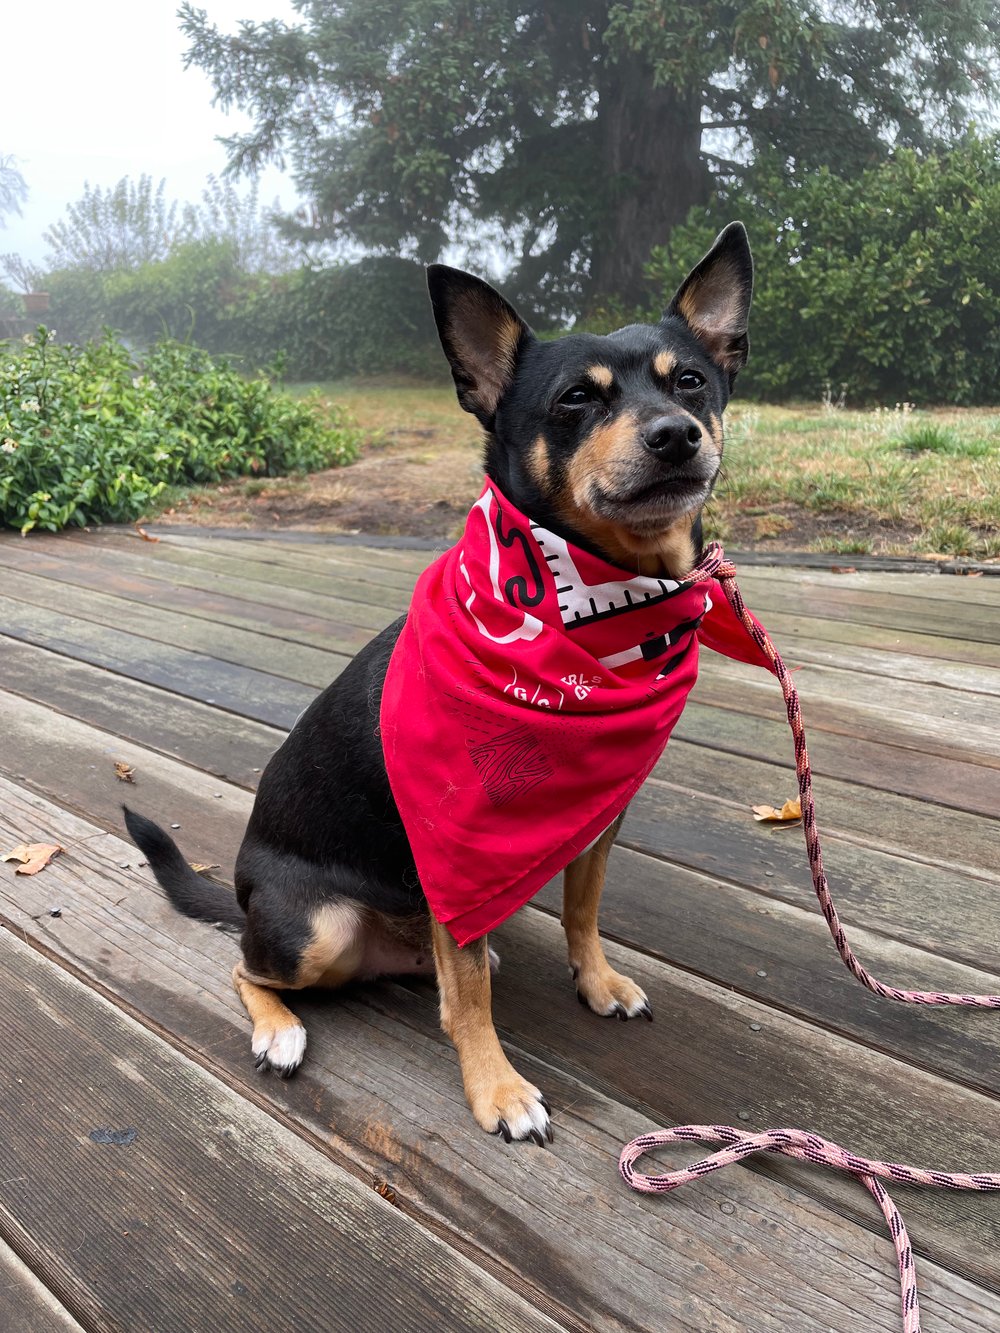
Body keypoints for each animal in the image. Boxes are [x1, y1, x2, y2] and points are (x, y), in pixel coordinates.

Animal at [123, 218, 752, 1146]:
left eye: (693, 381)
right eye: (576, 399)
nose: (677, 433)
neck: (599, 609)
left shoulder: (597, 819)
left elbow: (582, 911)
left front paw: (597, 980)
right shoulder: (456, 843)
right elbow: (472, 1003)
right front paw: (497, 1087)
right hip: (315, 929)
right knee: (247, 968)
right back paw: (280, 1028)